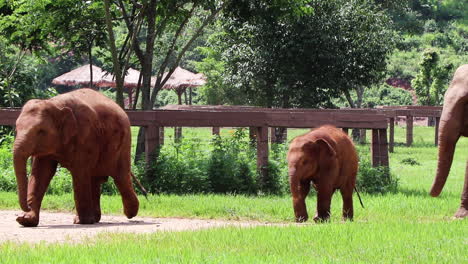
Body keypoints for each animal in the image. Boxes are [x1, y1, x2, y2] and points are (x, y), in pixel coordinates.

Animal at [12, 88, 139, 227]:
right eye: (16, 129)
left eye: (41, 131)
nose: (27, 207)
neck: (55, 104)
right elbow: (41, 173)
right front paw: (25, 220)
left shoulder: (86, 135)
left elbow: (79, 172)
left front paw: (81, 222)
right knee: (95, 179)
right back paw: (96, 218)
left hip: (123, 142)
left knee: (120, 177)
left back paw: (130, 213)